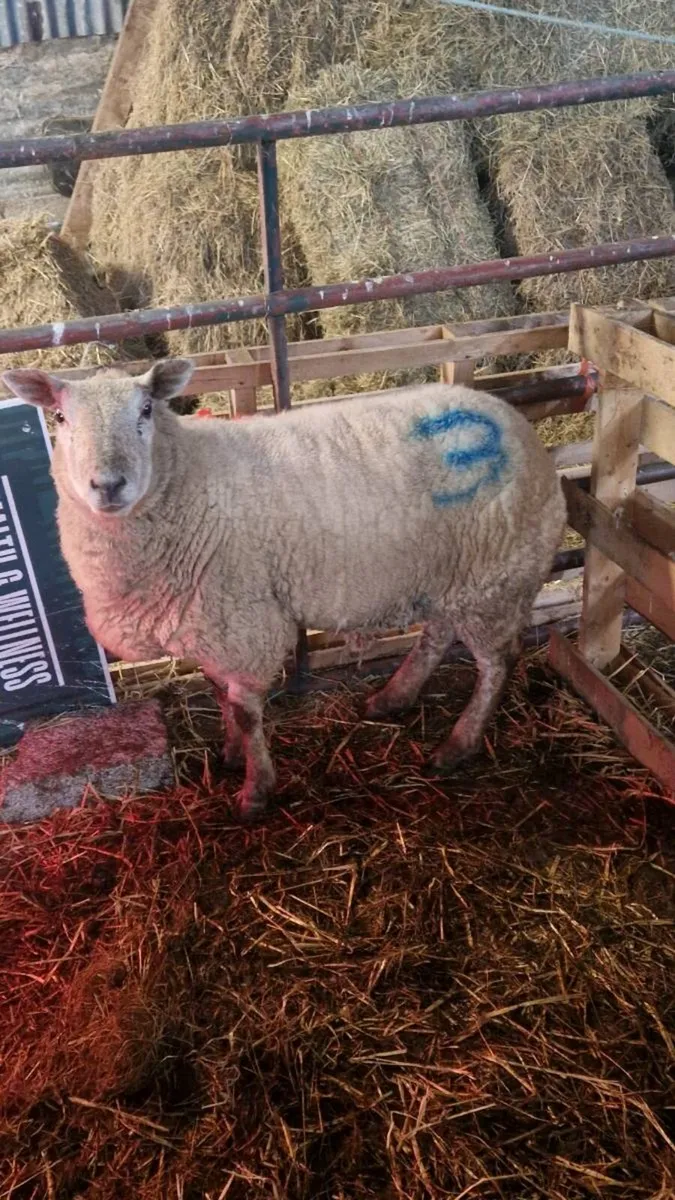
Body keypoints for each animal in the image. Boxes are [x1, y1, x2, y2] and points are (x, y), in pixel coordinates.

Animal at [3, 359, 566, 819]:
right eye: (59, 418)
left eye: (145, 410)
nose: (108, 485)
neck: (185, 481)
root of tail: (515, 423)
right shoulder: (210, 621)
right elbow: (220, 693)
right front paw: (231, 755)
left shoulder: (243, 619)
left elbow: (246, 710)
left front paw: (255, 792)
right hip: (453, 571)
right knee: (438, 632)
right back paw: (392, 698)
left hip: (495, 574)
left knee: (497, 662)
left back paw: (458, 745)